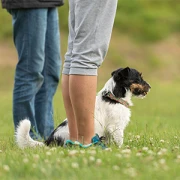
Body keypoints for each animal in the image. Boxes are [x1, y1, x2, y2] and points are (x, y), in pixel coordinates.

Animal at [15, 67, 150, 148]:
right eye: (139, 77)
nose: (150, 87)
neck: (113, 97)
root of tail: (48, 142)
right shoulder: (115, 127)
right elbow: (119, 141)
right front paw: (121, 150)